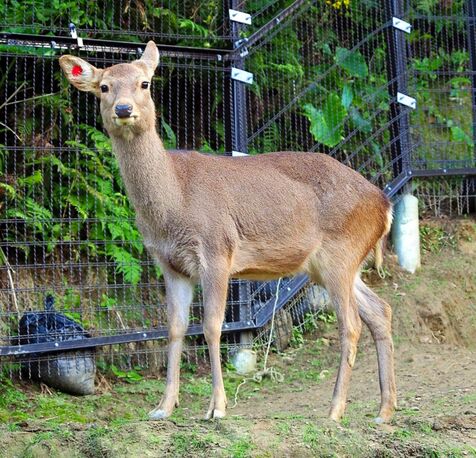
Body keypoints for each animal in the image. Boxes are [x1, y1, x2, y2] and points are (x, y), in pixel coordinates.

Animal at [58, 41, 394, 424]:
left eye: (145, 83)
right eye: (104, 86)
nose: (124, 109)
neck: (174, 202)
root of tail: (384, 205)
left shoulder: (216, 250)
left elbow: (212, 325)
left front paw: (217, 406)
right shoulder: (169, 264)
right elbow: (175, 328)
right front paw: (163, 407)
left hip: (341, 253)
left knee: (351, 323)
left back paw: (335, 409)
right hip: (335, 264)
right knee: (380, 311)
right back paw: (384, 410)